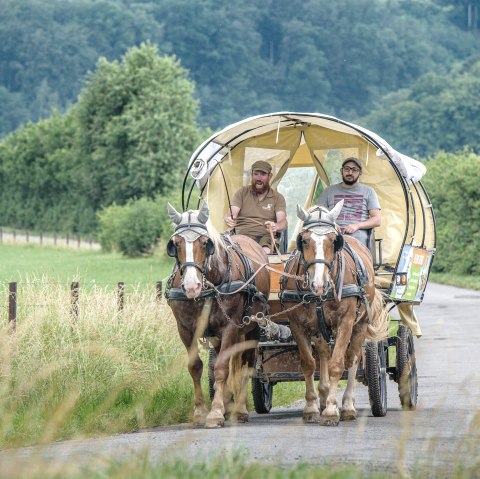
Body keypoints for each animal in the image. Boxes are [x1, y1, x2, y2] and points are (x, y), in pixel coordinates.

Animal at [165, 202, 270, 428]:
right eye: (175, 244)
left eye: (205, 243)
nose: (191, 286)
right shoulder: (185, 330)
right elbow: (197, 367)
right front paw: (200, 411)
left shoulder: (230, 327)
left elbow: (222, 368)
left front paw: (215, 413)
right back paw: (230, 404)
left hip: (253, 327)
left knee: (247, 364)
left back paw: (240, 409)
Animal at [280, 201, 388, 426]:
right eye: (304, 240)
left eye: (333, 240)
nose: (319, 284)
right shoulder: (297, 325)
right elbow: (309, 364)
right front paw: (312, 408)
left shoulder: (345, 322)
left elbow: (338, 365)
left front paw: (331, 410)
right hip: (320, 329)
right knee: (323, 353)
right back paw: (323, 396)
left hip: (360, 324)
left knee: (353, 358)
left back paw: (347, 406)